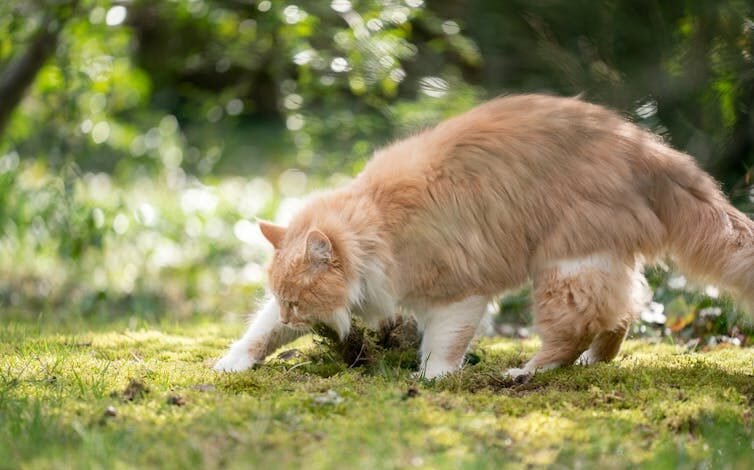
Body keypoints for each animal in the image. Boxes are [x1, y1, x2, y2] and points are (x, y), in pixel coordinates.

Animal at [213, 93, 752, 380]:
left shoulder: (460, 294)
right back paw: (593, 363)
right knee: (623, 312)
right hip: (596, 263)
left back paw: (529, 371)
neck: (377, 226)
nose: (290, 314)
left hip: (563, 269)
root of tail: (649, 147)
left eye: (298, 302)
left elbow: (441, 347)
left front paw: (432, 380)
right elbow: (259, 333)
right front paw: (232, 363)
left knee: (577, 328)